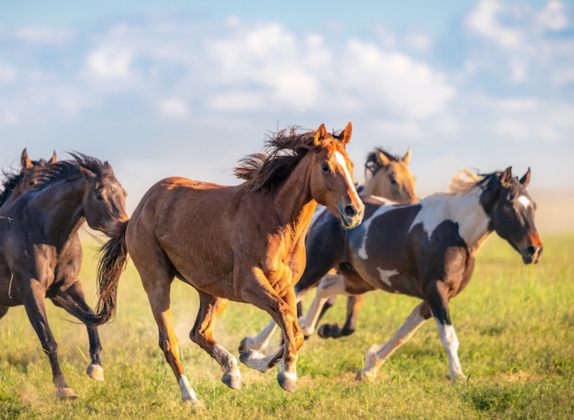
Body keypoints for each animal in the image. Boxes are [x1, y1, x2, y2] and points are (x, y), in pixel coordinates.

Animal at [0, 155, 127, 400]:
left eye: (124, 193)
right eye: (99, 195)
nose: (125, 226)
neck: (41, 230)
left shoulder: (64, 289)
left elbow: (90, 318)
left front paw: (96, 368)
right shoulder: (31, 290)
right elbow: (47, 338)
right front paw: (63, 388)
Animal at [93, 123, 364, 406]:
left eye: (351, 164)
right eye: (325, 166)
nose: (354, 210)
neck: (275, 220)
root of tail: (137, 212)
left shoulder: (286, 286)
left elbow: (294, 328)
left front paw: (254, 358)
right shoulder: (249, 285)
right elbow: (285, 317)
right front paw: (287, 375)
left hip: (213, 292)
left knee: (199, 332)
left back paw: (231, 372)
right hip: (157, 283)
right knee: (170, 342)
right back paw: (192, 398)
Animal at [241, 146, 420, 352]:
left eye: (413, 178)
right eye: (393, 180)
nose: (415, 203)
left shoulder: (355, 279)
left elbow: (348, 323)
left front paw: (327, 329)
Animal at [296, 167, 544, 380]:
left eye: (533, 206)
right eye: (511, 206)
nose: (534, 250)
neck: (457, 232)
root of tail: (324, 212)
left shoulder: (433, 297)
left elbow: (403, 335)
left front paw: (369, 368)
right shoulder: (436, 291)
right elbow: (448, 337)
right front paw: (458, 376)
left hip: (359, 280)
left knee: (324, 288)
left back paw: (306, 330)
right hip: (318, 265)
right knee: (297, 292)